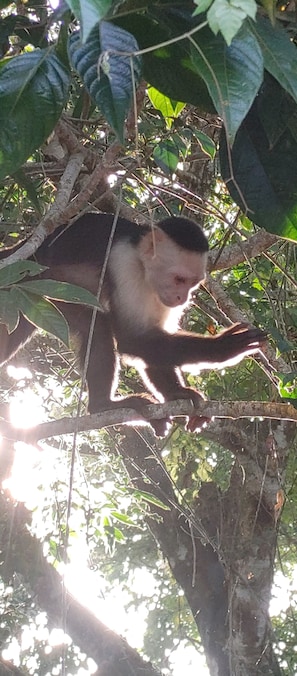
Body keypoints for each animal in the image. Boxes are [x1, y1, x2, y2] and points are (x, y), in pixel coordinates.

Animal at [0, 215, 266, 438]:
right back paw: (103, 405)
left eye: (193, 283)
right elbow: (133, 340)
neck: (142, 263)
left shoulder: (159, 295)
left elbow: (152, 346)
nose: (183, 298)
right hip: (43, 287)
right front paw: (224, 347)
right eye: (178, 279)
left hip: (30, 297)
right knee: (98, 327)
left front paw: (175, 393)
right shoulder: (123, 264)